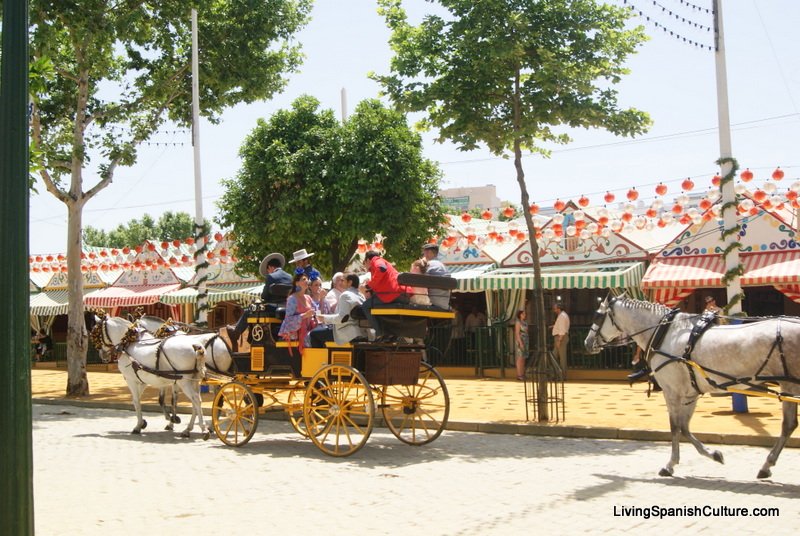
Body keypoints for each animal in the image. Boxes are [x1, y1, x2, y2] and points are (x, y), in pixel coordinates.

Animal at [580, 298, 800, 478]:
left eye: (597, 315)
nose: (587, 342)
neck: (665, 333)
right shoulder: (690, 393)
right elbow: (684, 427)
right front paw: (713, 454)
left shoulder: (672, 392)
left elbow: (675, 426)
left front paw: (670, 464)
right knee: (789, 425)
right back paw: (766, 466)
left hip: (789, 384)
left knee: (788, 425)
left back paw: (767, 464)